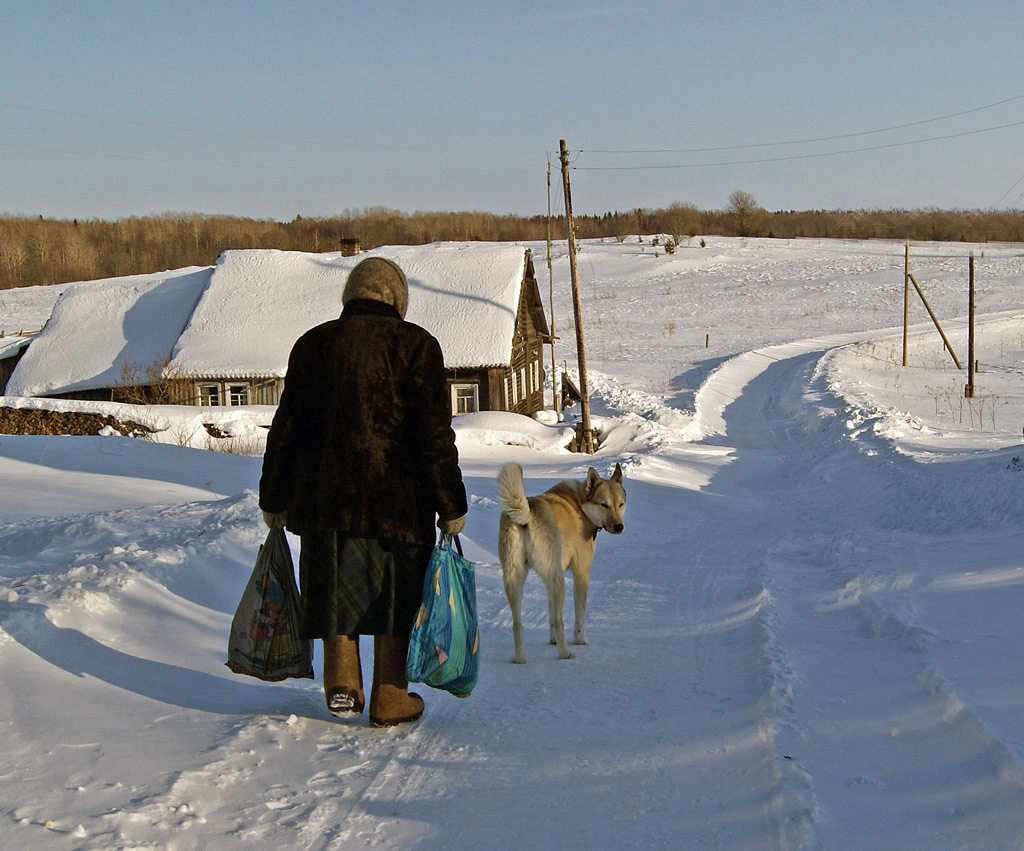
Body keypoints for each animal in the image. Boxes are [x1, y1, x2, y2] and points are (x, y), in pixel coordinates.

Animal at [495, 462, 622, 663]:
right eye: (604, 505)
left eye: (621, 504)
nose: (619, 527)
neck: (581, 503)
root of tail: (526, 514)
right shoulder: (581, 573)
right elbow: (578, 616)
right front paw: (580, 640)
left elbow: (550, 614)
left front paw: (551, 640)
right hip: (557, 581)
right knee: (559, 621)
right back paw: (565, 653)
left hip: (516, 579)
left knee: (517, 625)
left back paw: (520, 658)